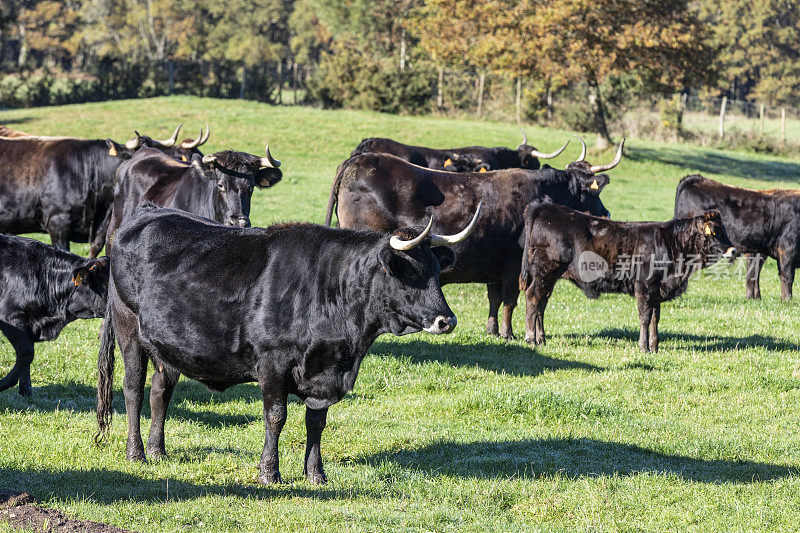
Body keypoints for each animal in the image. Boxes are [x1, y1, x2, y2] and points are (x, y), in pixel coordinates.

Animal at [97, 202, 478, 484]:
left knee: (160, 391)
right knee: (133, 389)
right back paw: (136, 453)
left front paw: (316, 474)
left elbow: (316, 423)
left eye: (437, 270)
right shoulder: (272, 363)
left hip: (169, 346)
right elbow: (276, 416)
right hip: (129, 329)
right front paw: (270, 473)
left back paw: (158, 451)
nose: (447, 320)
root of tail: (144, 212)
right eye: (410, 272)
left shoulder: (324, 373)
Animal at [324, 137, 624, 336]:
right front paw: (508, 333)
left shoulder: (495, 267)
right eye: (594, 190)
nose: (607, 212)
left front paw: (492, 330)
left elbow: (494, 300)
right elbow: (510, 300)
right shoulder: (514, 265)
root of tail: (359, 159)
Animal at [520, 205, 736, 354]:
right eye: (715, 232)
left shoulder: (656, 289)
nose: (733, 250)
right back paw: (531, 339)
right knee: (532, 299)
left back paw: (541, 339)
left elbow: (655, 318)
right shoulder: (644, 287)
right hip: (544, 271)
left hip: (549, 277)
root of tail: (544, 207)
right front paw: (644, 347)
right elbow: (645, 317)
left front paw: (655, 346)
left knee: (541, 305)